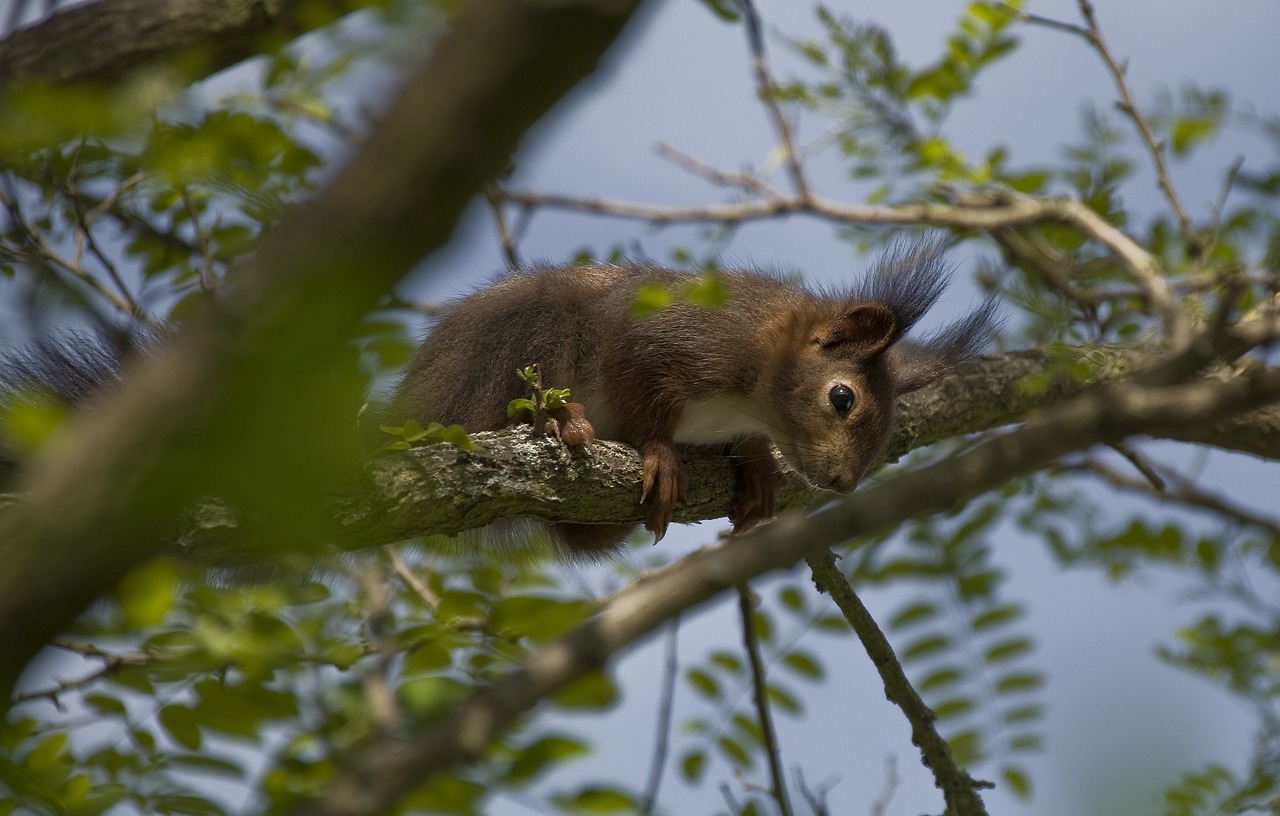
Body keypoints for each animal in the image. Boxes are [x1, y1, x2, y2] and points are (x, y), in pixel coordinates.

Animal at [391, 236, 998, 557]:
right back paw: (561, 419)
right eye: (842, 398)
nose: (842, 483)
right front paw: (660, 452)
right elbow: (640, 394)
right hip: (525, 338)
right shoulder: (666, 335)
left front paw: (755, 462)